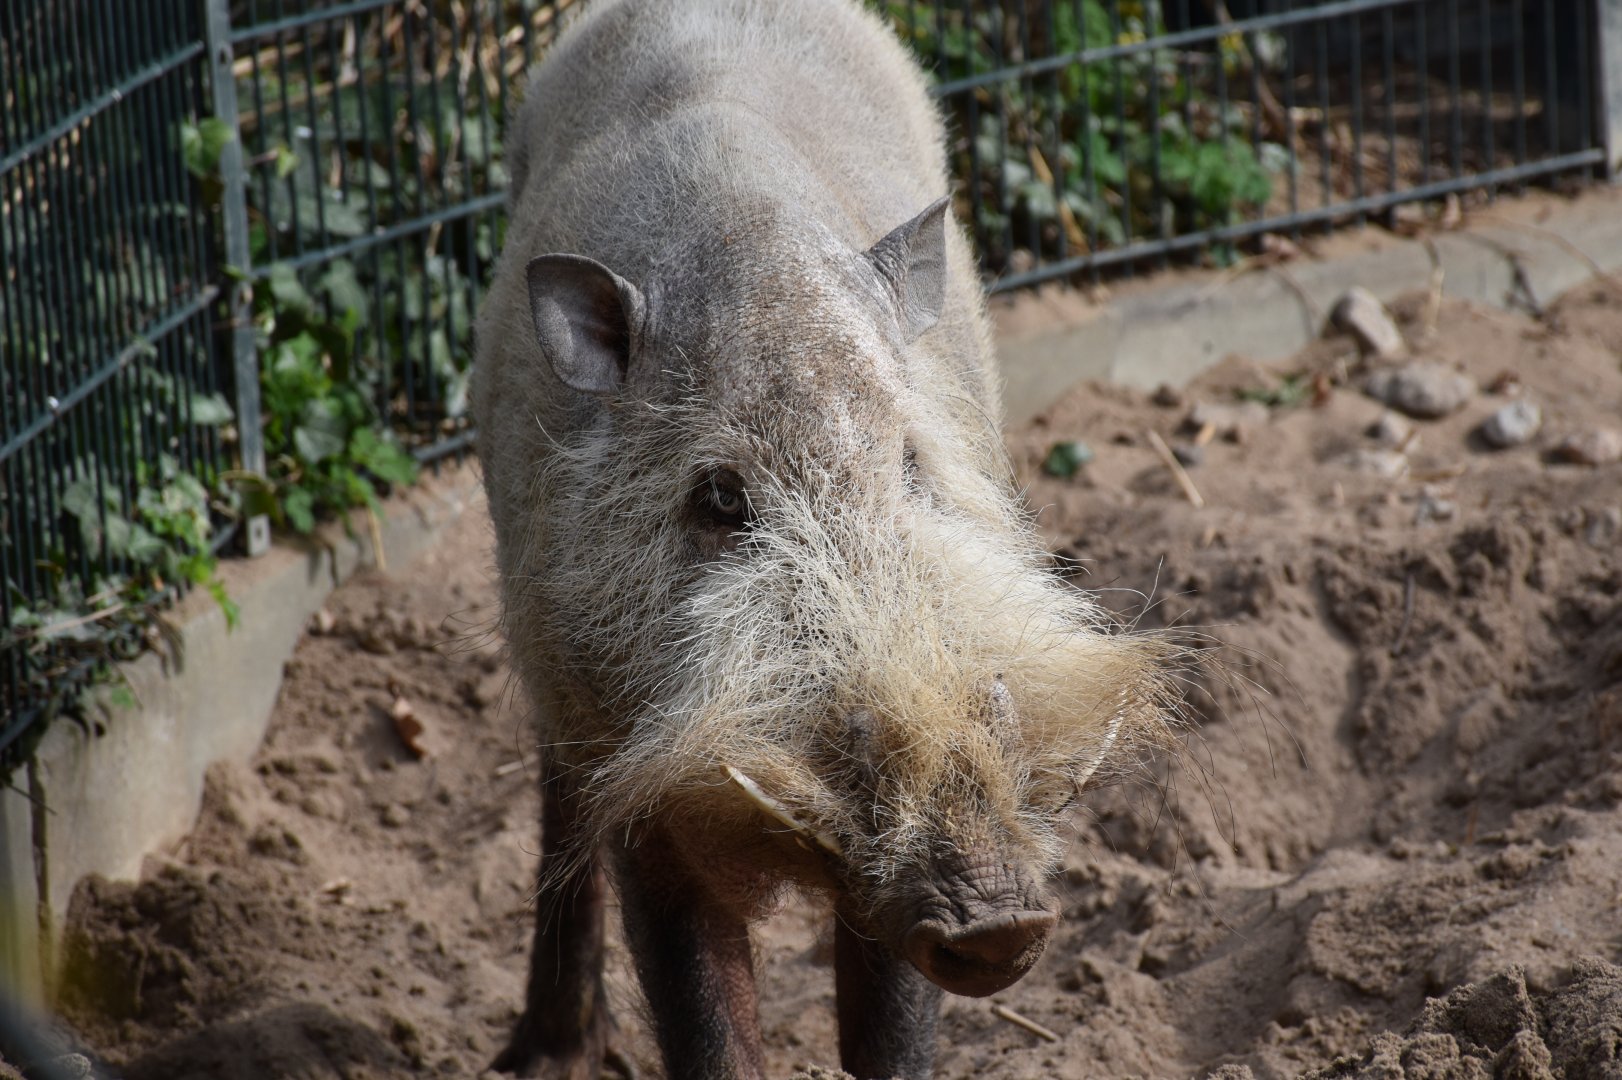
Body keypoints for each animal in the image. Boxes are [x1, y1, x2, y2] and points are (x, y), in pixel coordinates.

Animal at [470, 1, 1178, 1077]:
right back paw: (548, 1055)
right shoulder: (638, 784)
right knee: (554, 806)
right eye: (721, 498)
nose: (999, 920)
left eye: (911, 463)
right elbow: (706, 1022)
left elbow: (889, 1027)